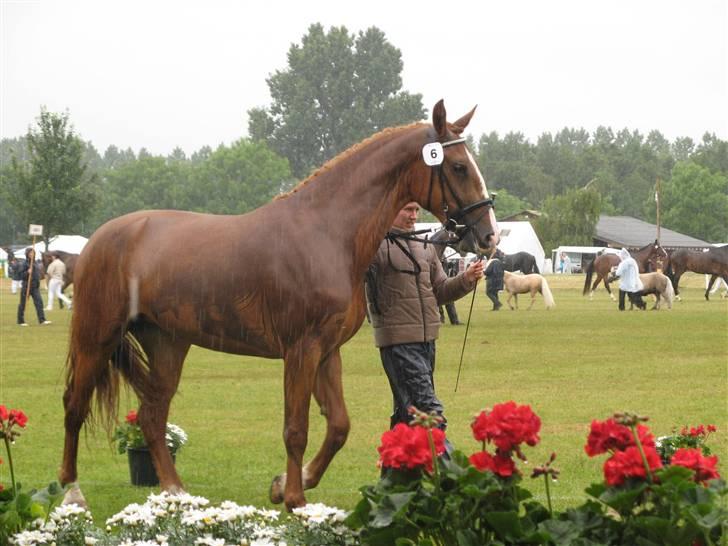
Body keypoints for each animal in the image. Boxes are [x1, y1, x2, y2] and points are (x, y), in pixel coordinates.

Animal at [61, 99, 500, 510]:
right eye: (458, 167)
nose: (488, 236)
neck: (326, 232)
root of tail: (102, 237)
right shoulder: (301, 350)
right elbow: (296, 428)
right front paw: (294, 499)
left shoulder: (327, 351)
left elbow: (338, 425)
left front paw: (288, 483)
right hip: (96, 338)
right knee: (75, 405)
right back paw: (72, 491)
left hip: (167, 343)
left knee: (153, 416)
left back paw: (176, 492)